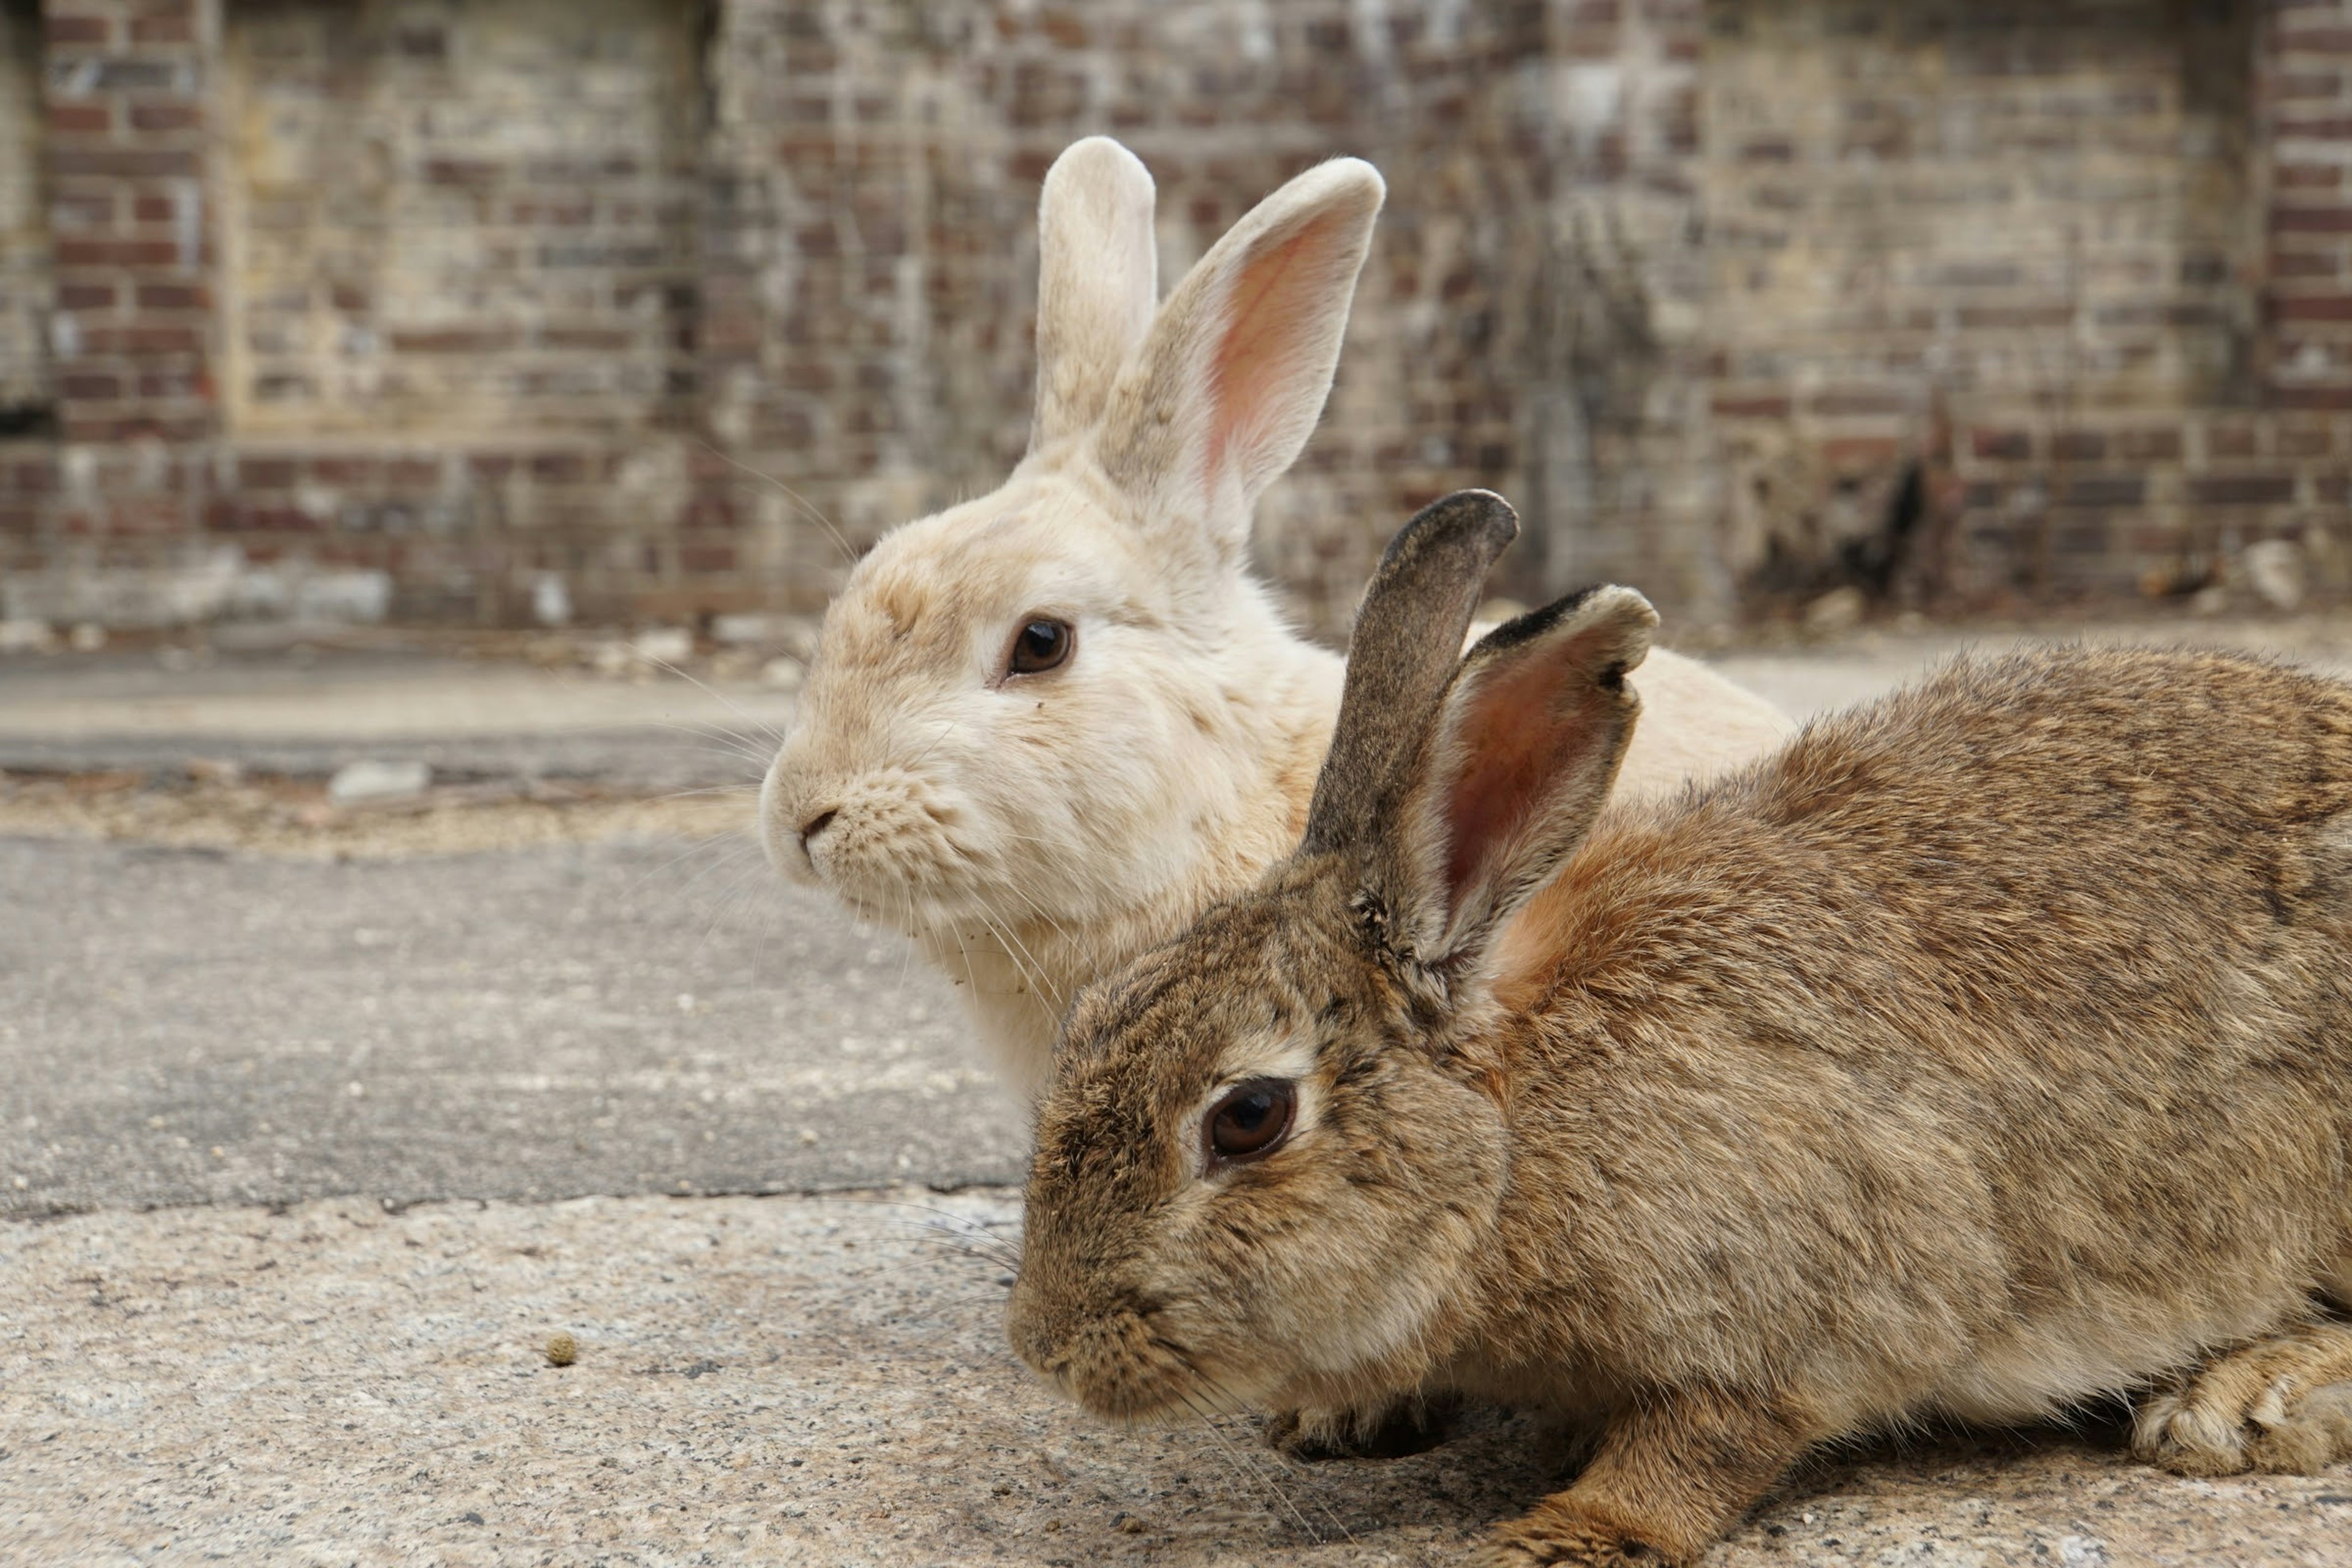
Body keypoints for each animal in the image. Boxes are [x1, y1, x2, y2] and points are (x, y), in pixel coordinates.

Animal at [1006, 491, 2352, 1568]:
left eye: (1247, 1118)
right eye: (1090, 1020)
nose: (1044, 1347)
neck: (1514, 1136)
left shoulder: (1803, 1300)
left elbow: (1707, 1439)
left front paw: (1562, 1536)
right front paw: (1343, 1418)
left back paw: (2244, 1399)